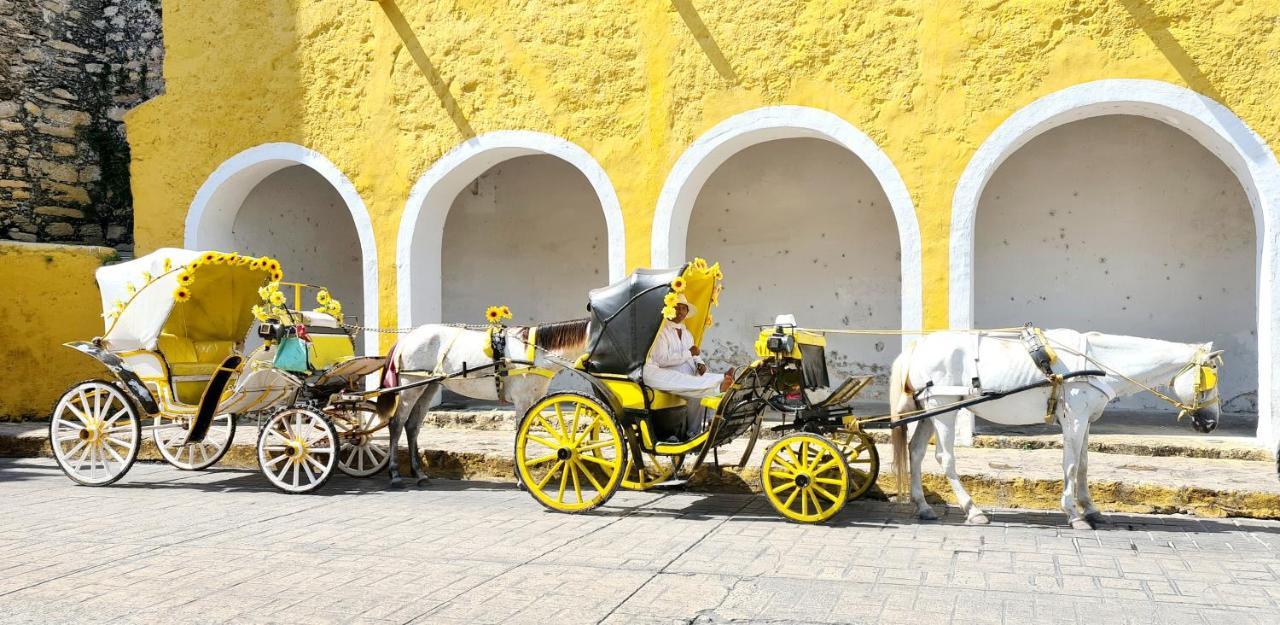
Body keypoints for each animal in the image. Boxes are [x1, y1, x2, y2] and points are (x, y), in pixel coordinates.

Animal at [376, 317, 591, 489]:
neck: (535, 354)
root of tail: (406, 338)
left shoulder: (534, 400)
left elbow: (526, 435)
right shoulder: (522, 400)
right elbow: (520, 434)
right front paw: (521, 479)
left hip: (428, 387)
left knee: (412, 426)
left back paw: (419, 474)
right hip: (410, 387)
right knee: (397, 424)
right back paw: (395, 474)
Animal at [890, 330, 1218, 530]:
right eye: (1211, 377)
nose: (1211, 423)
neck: (1099, 364)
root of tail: (918, 346)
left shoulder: (1086, 420)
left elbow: (1084, 465)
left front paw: (1090, 508)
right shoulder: (1074, 418)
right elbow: (1070, 465)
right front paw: (1074, 514)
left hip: (929, 410)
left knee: (915, 452)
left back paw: (923, 507)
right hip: (944, 406)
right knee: (945, 458)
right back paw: (973, 510)